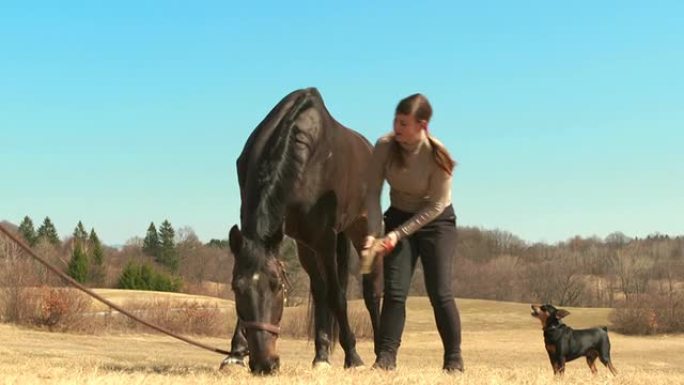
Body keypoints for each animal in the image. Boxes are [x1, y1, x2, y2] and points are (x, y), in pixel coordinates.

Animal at [222, 88, 382, 372]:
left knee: (370, 292)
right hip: (306, 244)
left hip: (361, 231)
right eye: (236, 287)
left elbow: (338, 296)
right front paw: (236, 353)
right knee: (319, 290)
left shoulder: (326, 238)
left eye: (277, 287)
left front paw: (353, 357)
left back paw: (379, 355)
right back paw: (321, 355)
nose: (265, 363)